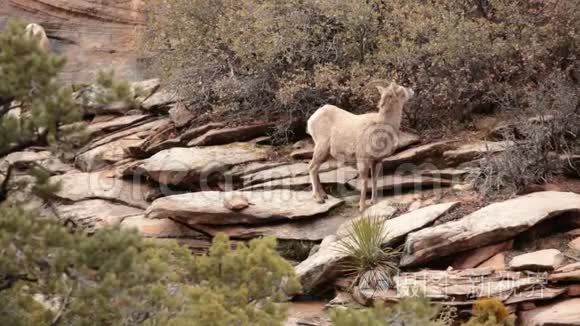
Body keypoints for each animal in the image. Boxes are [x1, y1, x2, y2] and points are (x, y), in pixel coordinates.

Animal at [308, 81, 412, 211]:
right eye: (402, 91)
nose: (411, 91)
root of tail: (312, 119)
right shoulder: (363, 160)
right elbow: (364, 181)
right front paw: (362, 206)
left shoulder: (376, 161)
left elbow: (374, 180)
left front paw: (374, 201)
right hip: (321, 148)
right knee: (312, 168)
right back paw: (318, 199)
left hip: (324, 152)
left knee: (316, 169)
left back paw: (324, 196)